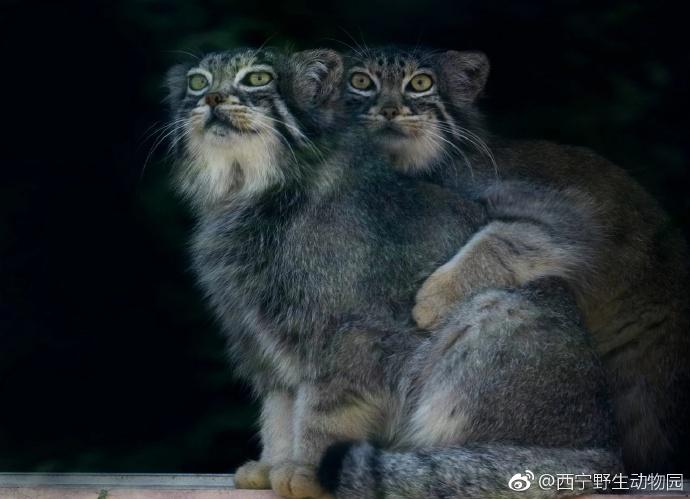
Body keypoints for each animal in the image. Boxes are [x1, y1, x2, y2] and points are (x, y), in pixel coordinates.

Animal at [165, 47, 621, 498]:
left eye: (257, 78)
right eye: (198, 82)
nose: (212, 99)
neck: (248, 192)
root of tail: (604, 445)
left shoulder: (348, 335)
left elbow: (322, 410)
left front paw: (306, 471)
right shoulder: (263, 339)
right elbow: (280, 407)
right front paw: (275, 463)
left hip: (494, 312)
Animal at [341, 45, 690, 474]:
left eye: (420, 83)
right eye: (360, 81)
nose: (388, 109)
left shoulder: (570, 217)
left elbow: (502, 240)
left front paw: (434, 301)